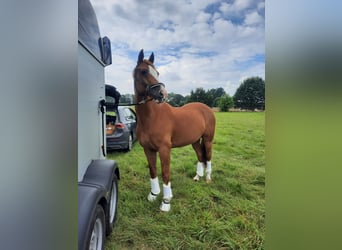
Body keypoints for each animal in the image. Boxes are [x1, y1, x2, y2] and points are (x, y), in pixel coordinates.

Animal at [133, 49, 215, 212]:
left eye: (157, 72)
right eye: (144, 71)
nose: (163, 94)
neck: (152, 118)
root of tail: (207, 109)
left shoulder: (165, 149)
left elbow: (165, 173)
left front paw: (166, 201)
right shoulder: (148, 149)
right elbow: (153, 171)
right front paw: (153, 194)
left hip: (208, 139)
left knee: (208, 156)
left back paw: (208, 178)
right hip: (195, 141)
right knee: (200, 155)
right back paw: (197, 177)